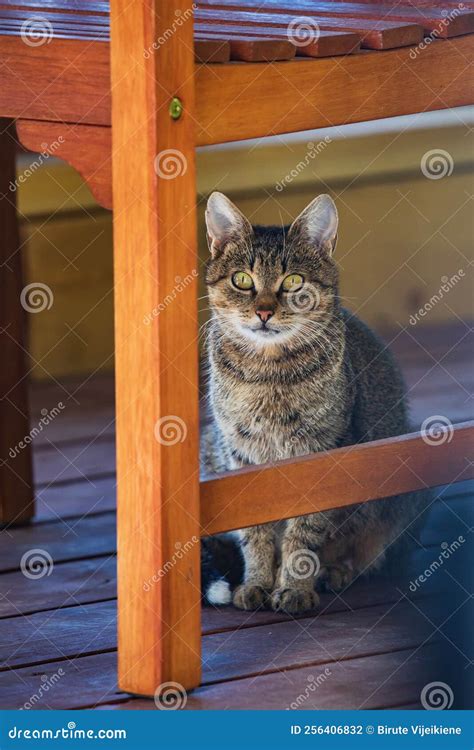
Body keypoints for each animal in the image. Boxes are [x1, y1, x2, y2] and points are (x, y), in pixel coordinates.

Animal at [202, 191, 424, 612]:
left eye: (293, 281)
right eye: (242, 280)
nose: (264, 311)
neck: (267, 374)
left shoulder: (321, 453)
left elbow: (304, 532)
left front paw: (294, 587)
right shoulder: (239, 453)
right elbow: (255, 531)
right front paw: (258, 581)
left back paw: (335, 571)